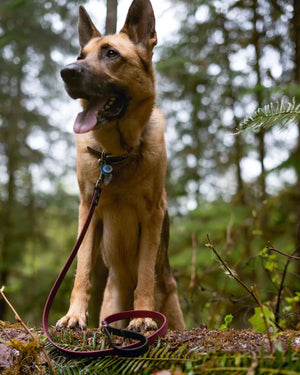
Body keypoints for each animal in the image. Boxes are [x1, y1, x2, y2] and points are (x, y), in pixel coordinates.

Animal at [55, 0, 184, 332]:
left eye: (111, 54)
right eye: (81, 57)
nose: (66, 72)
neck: (116, 155)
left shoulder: (152, 217)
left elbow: (145, 276)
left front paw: (143, 316)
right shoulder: (88, 213)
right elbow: (82, 272)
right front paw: (74, 315)